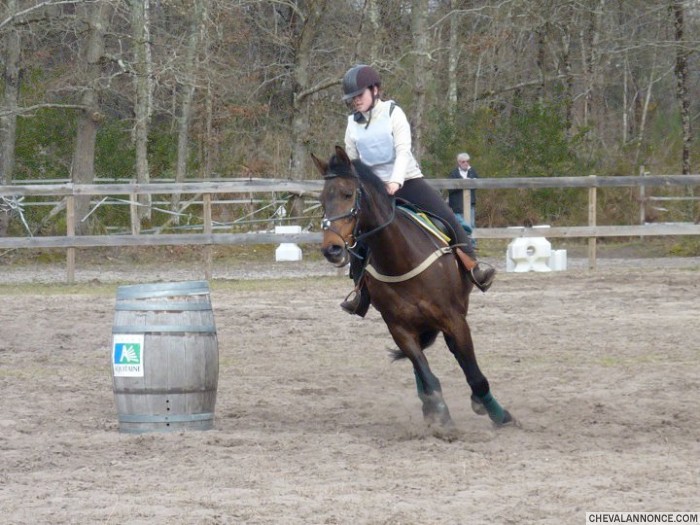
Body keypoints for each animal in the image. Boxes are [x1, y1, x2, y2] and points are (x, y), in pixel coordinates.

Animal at [314, 145, 516, 432]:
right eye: (322, 200)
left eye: (347, 193)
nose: (331, 249)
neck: (400, 257)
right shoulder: (399, 328)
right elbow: (425, 373)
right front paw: (440, 416)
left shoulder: (454, 319)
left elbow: (474, 374)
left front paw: (499, 414)